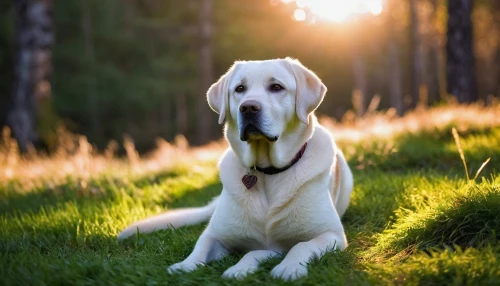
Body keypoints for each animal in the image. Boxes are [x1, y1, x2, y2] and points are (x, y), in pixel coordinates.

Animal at [117, 57, 354, 280]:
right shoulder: (215, 234)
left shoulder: (331, 234)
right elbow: (201, 246)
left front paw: (289, 267)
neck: (266, 172)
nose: (248, 107)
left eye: (276, 87)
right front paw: (184, 266)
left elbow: (300, 246)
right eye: (240, 89)